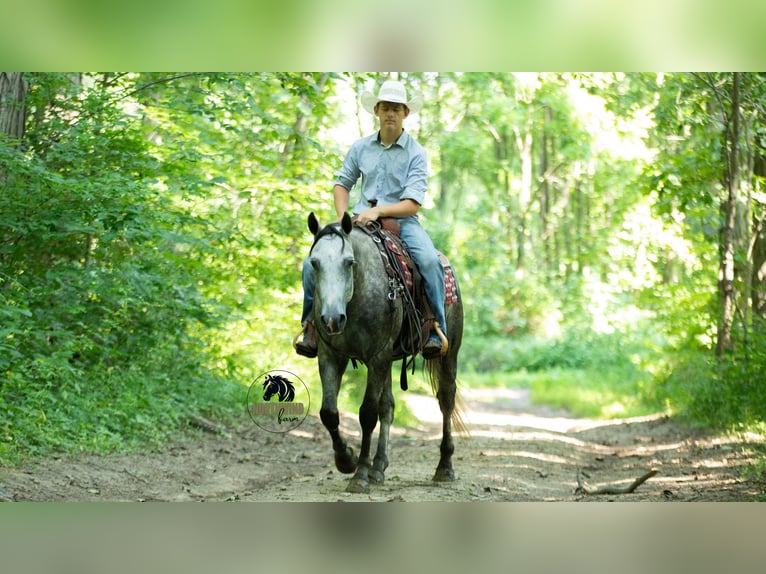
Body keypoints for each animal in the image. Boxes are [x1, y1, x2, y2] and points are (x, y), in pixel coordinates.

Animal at [306, 211, 464, 494]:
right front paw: (346, 459)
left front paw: (359, 475)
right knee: (388, 406)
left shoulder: (377, 356)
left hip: (448, 354)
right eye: (314, 263)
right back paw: (379, 466)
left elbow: (367, 414)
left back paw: (444, 467)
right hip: (389, 361)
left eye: (349, 262)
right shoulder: (330, 355)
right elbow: (329, 413)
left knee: (446, 401)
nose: (332, 319)